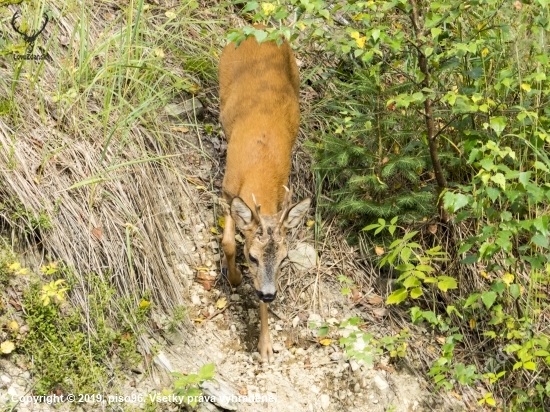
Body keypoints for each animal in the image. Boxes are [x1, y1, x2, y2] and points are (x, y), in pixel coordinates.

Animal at [221, 30, 314, 362]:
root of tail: (259, 29)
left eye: (285, 259)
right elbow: (227, 241)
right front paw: (235, 278)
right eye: (252, 256)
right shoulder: (227, 189)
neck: (258, 175)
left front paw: (265, 345)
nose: (270, 293)